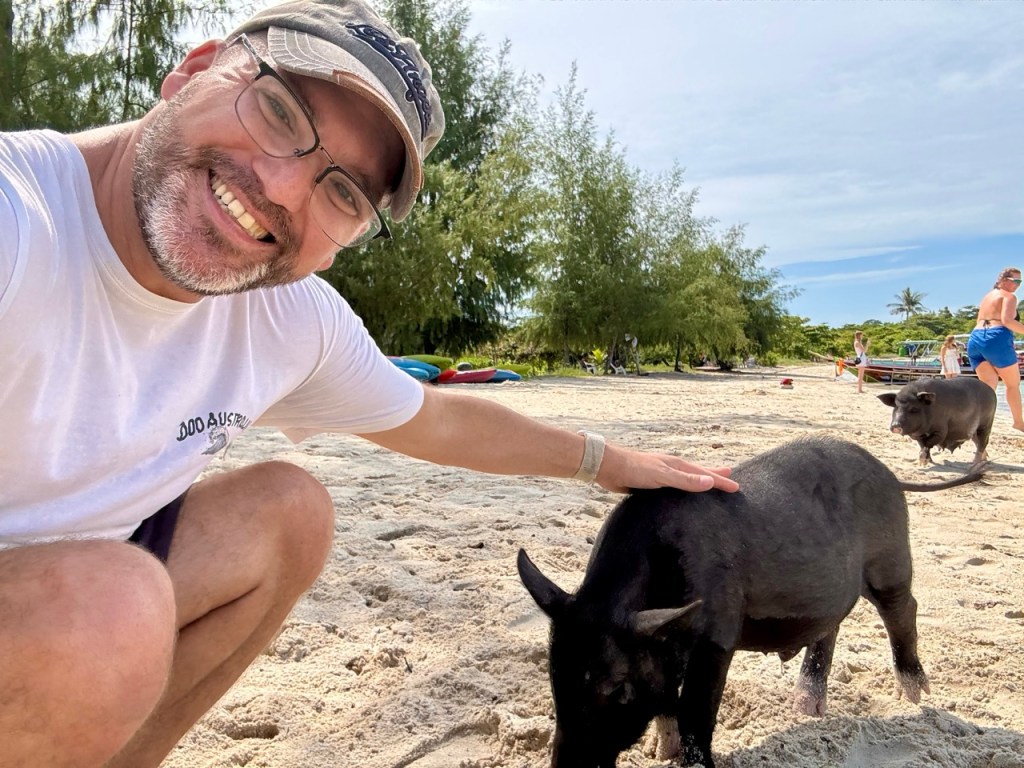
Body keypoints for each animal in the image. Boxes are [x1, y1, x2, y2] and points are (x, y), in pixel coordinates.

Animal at [517, 435, 985, 768]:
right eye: (554, 677)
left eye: (617, 689)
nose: (566, 766)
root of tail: (886, 470)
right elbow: (670, 701)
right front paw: (660, 753)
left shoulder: (718, 634)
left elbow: (696, 712)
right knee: (830, 625)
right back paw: (807, 708)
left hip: (891, 554)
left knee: (903, 608)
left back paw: (915, 697)